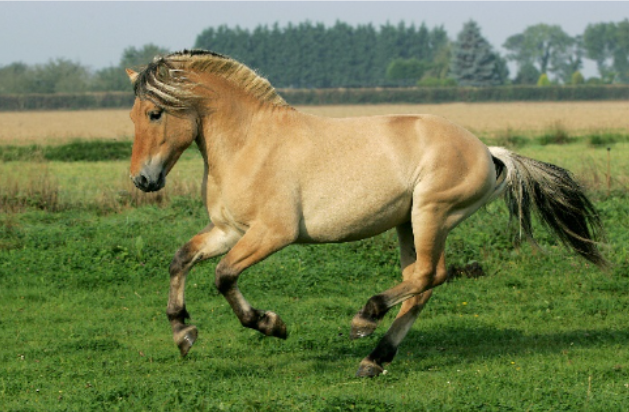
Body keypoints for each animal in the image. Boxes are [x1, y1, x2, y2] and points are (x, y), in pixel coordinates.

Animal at [126, 49, 604, 376]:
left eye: (155, 113)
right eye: (132, 116)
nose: (142, 180)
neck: (251, 143)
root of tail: (489, 153)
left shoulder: (273, 233)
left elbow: (224, 275)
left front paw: (271, 324)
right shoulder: (228, 229)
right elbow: (181, 260)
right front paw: (183, 334)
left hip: (431, 214)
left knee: (429, 276)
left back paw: (364, 321)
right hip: (408, 224)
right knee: (422, 284)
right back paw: (374, 358)